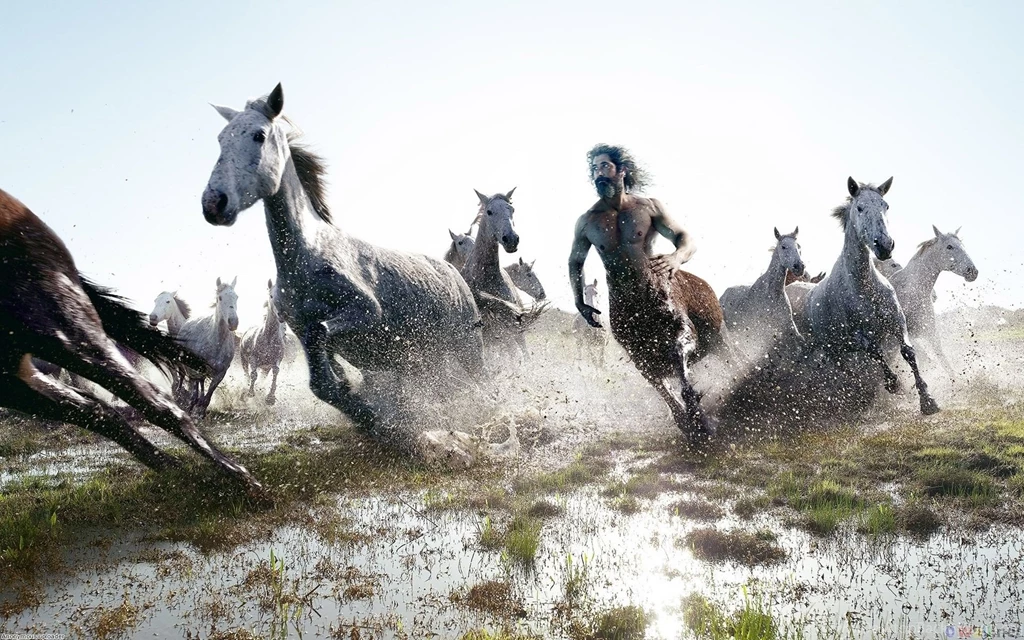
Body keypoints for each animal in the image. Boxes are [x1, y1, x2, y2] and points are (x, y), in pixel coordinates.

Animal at [175, 277, 239, 417]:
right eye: (220, 298)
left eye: (236, 297)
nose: (233, 322)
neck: (216, 343)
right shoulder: (194, 368)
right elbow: (194, 391)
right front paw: (191, 409)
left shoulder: (220, 374)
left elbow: (208, 397)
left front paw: (201, 412)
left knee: (201, 382)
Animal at [201, 83, 483, 445]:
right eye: (221, 138)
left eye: (259, 135)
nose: (213, 203)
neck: (307, 258)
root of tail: (455, 273)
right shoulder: (302, 332)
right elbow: (322, 381)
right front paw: (369, 415)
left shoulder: (366, 313)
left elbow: (323, 337)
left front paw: (376, 417)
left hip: (467, 346)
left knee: (483, 382)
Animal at [719, 227, 806, 362]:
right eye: (783, 246)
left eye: (799, 246)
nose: (799, 267)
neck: (772, 294)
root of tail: (723, 296)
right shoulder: (765, 332)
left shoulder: (788, 325)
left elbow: (800, 343)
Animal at [793, 177, 939, 416]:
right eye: (860, 208)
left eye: (885, 205)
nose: (885, 245)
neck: (864, 287)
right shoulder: (858, 336)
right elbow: (875, 352)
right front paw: (894, 384)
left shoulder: (897, 322)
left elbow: (908, 351)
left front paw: (927, 400)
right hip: (832, 348)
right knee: (844, 368)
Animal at [887, 226, 978, 378]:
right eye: (949, 246)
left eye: (963, 245)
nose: (973, 271)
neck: (914, 291)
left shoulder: (929, 332)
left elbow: (943, 361)